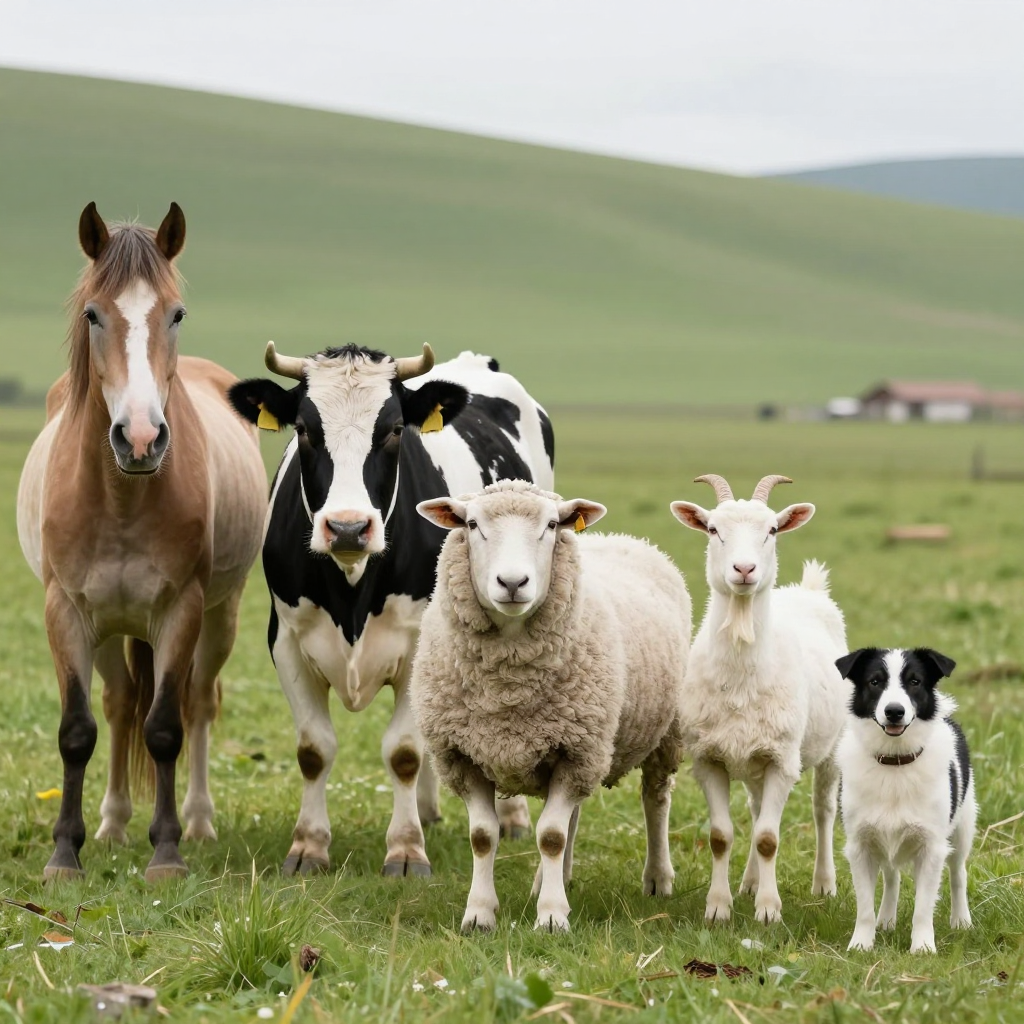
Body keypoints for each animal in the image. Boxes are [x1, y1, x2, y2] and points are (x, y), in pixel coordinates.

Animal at [16, 202, 266, 882]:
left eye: (176, 314)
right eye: (92, 314)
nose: (139, 437)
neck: (122, 500)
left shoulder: (182, 609)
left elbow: (166, 730)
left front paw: (169, 852)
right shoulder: (66, 611)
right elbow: (78, 730)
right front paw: (65, 854)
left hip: (220, 616)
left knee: (197, 702)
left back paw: (199, 821)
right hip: (109, 628)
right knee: (121, 701)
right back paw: (111, 823)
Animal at [229, 341, 555, 876]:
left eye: (395, 429)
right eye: (304, 429)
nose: (347, 527)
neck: (352, 591)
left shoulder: (419, 641)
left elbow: (403, 752)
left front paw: (405, 850)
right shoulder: (288, 642)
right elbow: (314, 750)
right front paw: (308, 846)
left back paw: (509, 818)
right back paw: (428, 810)